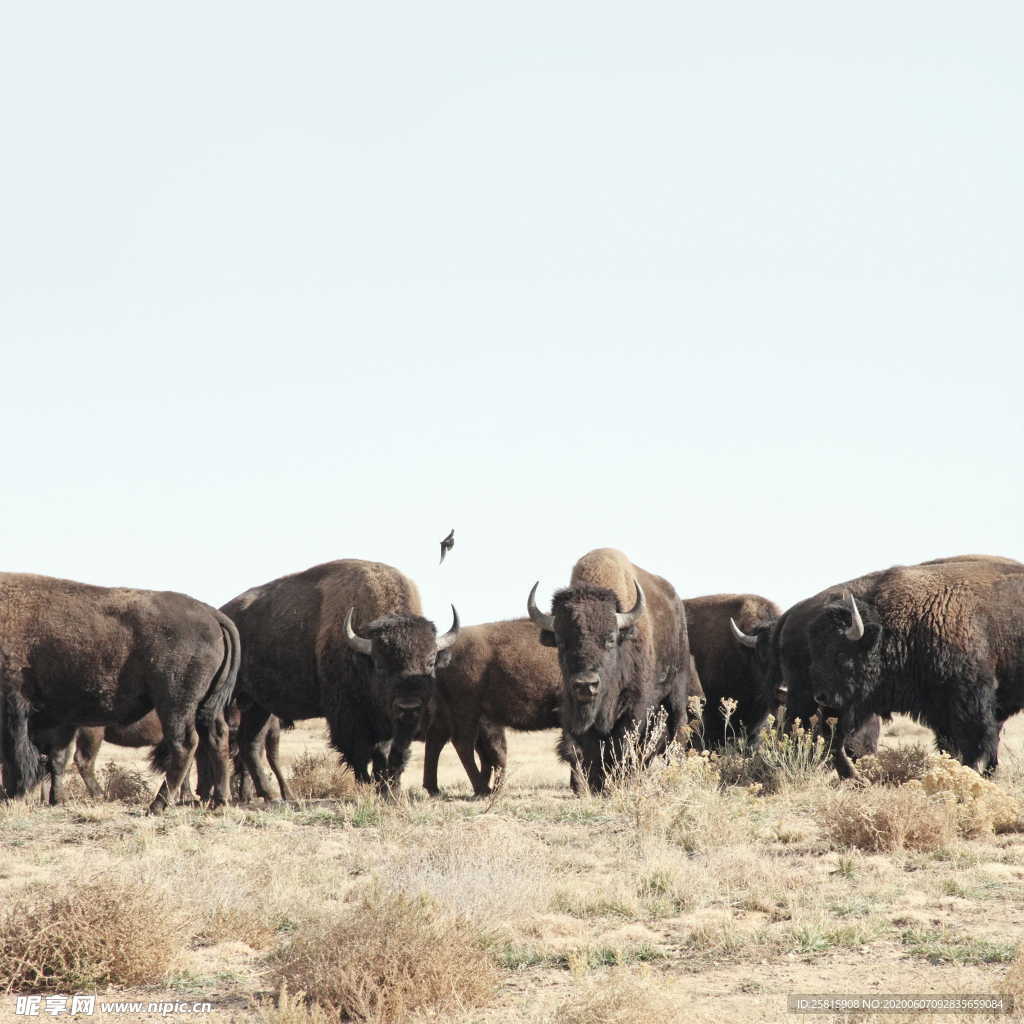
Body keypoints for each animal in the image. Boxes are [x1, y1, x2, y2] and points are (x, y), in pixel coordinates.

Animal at [0, 573, 237, 811]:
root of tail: (210, 612)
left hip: (175, 704)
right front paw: (55, 800)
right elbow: (55, 758)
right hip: (206, 706)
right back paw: (220, 801)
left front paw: (13, 797)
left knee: (184, 744)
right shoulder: (61, 720)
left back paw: (157, 805)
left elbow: (17, 758)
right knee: (216, 737)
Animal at [228, 557, 460, 794]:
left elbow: (388, 752)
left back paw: (271, 796)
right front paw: (366, 785)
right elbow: (360, 753)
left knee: (250, 744)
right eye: (380, 665)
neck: (362, 656)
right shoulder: (348, 717)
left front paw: (387, 788)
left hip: (258, 705)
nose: (408, 706)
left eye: (430, 662)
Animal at [428, 618, 565, 794]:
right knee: (463, 744)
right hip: (466, 711)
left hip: (450, 713)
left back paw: (434, 789)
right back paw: (483, 789)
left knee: (437, 740)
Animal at [528, 552, 696, 790]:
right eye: (561, 642)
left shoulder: (636, 706)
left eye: (610, 639)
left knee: (676, 730)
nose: (586, 684)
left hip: (676, 690)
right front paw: (597, 784)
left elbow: (624, 743)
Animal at [774, 552, 1024, 774]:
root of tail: (789, 616)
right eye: (815, 651)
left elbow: (971, 740)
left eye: (840, 653)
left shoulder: (965, 700)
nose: (822, 696)